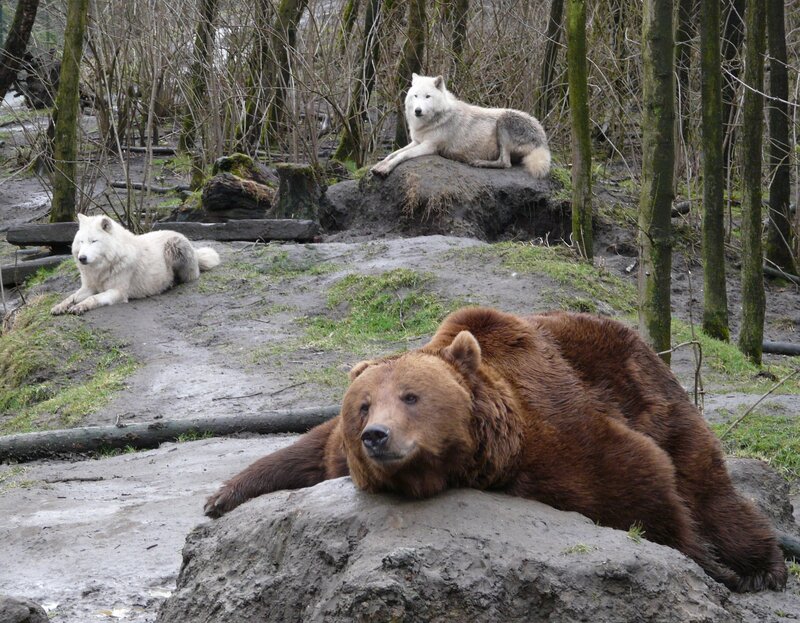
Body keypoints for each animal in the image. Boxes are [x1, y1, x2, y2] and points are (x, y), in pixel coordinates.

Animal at [51, 214, 220, 315]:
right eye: (81, 242)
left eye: (94, 241)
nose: (82, 258)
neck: (101, 268)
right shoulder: (88, 287)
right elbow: (71, 297)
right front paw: (60, 306)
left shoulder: (118, 292)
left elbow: (93, 299)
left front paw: (79, 306)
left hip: (174, 245)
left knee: (188, 277)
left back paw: (170, 284)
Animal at [204, 307, 787, 593]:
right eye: (363, 407)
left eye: (411, 396)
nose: (377, 436)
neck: (488, 453)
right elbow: (308, 450)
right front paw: (221, 496)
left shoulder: (564, 434)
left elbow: (648, 490)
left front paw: (719, 569)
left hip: (654, 397)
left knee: (704, 484)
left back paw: (762, 564)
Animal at [372, 73, 551, 178]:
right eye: (415, 96)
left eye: (427, 96)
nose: (417, 110)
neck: (435, 119)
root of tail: (543, 138)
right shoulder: (417, 141)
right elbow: (393, 154)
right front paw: (379, 164)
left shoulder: (429, 146)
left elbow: (402, 156)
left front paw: (385, 169)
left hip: (503, 121)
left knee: (505, 163)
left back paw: (479, 162)